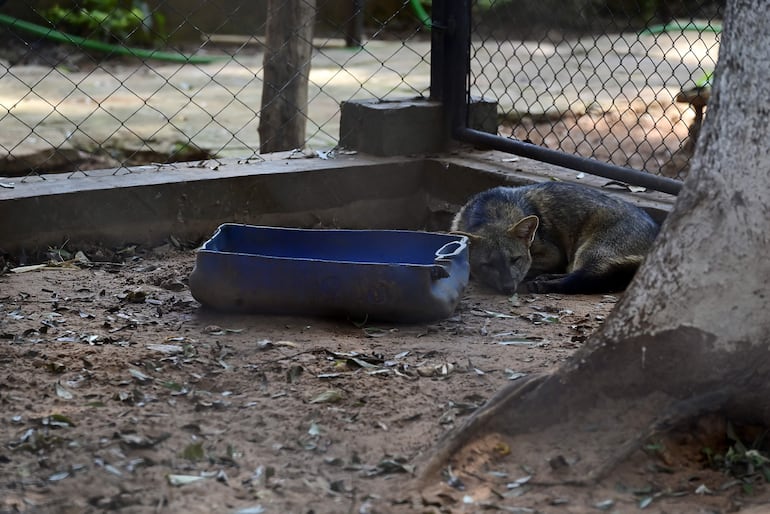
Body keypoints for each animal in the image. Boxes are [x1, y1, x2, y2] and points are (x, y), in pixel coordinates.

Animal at [450, 180, 660, 292]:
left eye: (515, 259)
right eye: (488, 264)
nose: (509, 287)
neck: (489, 209)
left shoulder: (553, 254)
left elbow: (532, 267)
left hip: (590, 251)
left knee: (585, 278)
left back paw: (545, 284)